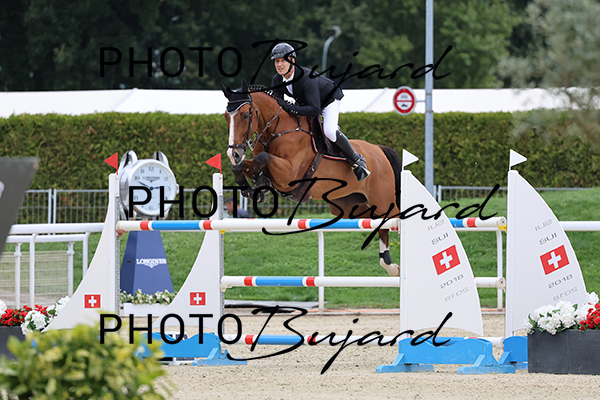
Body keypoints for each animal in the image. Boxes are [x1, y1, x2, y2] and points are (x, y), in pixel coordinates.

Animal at [221, 79, 402, 276]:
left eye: (245, 115)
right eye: (226, 116)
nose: (233, 154)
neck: (277, 130)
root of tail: (379, 150)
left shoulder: (289, 174)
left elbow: (262, 158)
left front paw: (259, 181)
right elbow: (241, 166)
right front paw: (253, 189)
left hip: (382, 200)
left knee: (392, 218)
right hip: (348, 204)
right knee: (376, 222)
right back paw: (389, 264)